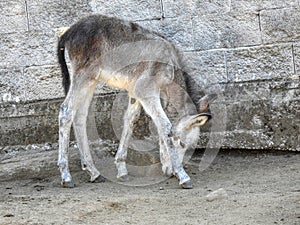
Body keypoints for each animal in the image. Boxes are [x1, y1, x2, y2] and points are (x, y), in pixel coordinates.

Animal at [56, 14, 216, 189]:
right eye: (181, 143)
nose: (171, 172)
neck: (170, 66)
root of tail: (69, 31)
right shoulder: (146, 92)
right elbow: (164, 126)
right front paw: (182, 176)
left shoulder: (135, 92)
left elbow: (130, 120)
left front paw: (122, 169)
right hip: (83, 76)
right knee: (66, 111)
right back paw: (66, 176)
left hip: (91, 80)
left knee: (79, 116)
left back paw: (93, 172)